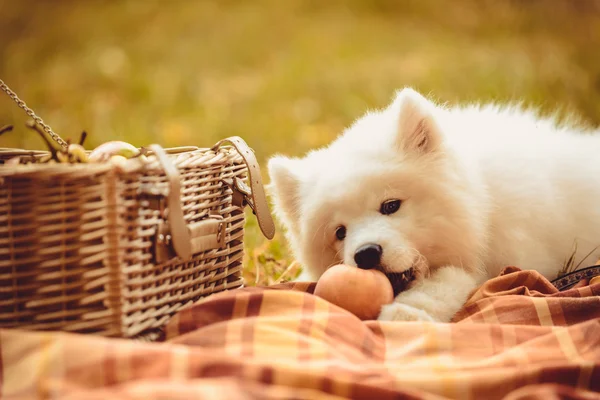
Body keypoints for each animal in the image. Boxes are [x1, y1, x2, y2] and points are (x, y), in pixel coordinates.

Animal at [270, 87, 600, 322]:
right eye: (340, 232)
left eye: (391, 205)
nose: (365, 254)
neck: (483, 199)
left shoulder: (507, 257)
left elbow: (451, 279)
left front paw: (407, 312)